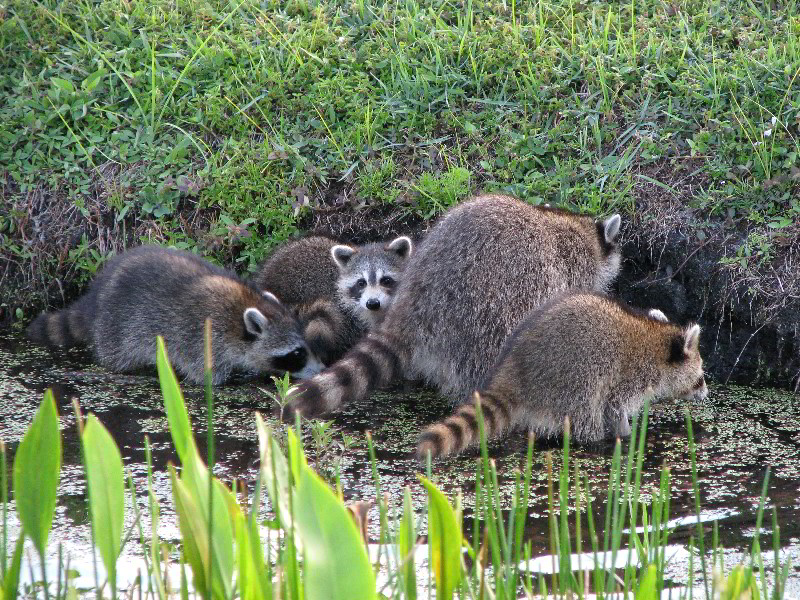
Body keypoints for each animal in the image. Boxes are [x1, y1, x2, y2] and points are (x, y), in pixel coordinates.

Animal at [28, 245, 322, 382]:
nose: (322, 369)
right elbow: (208, 378)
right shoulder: (202, 340)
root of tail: (96, 296)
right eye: (297, 353)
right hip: (117, 329)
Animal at [416, 292, 708, 460]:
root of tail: (517, 369)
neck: (657, 340)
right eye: (700, 377)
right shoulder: (629, 376)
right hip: (573, 380)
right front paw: (626, 433)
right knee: (587, 415)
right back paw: (595, 438)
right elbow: (615, 407)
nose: (706, 392)